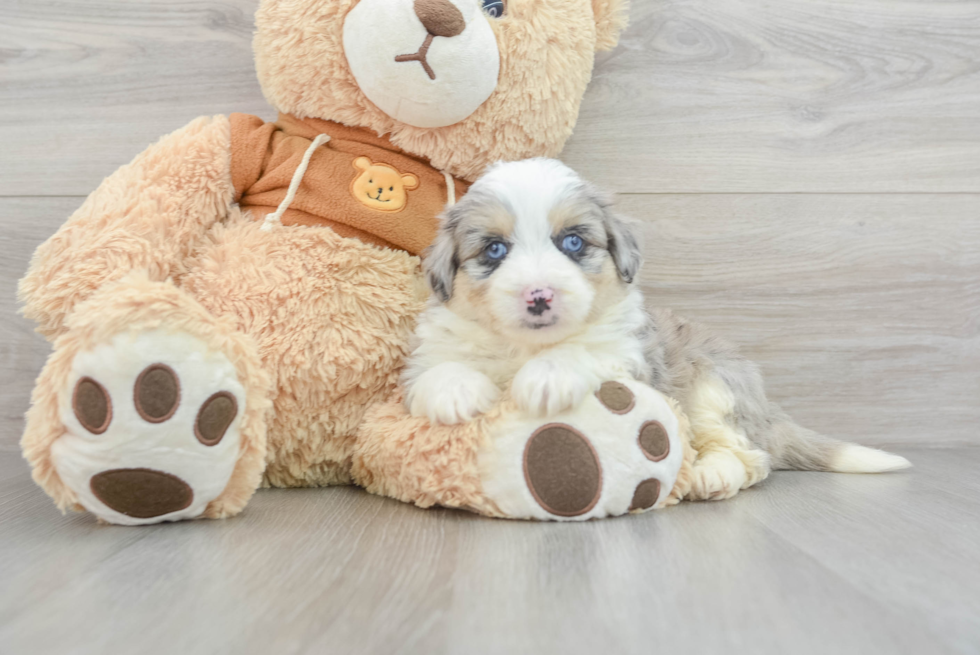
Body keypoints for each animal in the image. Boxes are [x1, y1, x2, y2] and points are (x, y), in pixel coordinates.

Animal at [400, 159, 912, 502]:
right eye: (494, 249)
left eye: (573, 242)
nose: (539, 295)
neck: (527, 346)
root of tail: (765, 410)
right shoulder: (431, 350)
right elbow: (438, 369)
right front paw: (455, 393)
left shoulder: (628, 356)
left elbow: (582, 353)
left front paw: (547, 377)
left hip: (712, 390)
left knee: (750, 456)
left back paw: (711, 475)